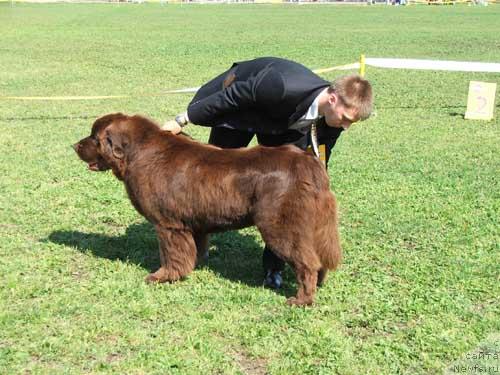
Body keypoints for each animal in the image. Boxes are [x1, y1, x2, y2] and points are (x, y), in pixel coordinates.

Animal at [72, 114, 342, 306]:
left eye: (94, 137)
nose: (74, 145)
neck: (138, 153)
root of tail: (309, 163)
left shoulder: (168, 224)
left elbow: (171, 253)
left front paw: (163, 276)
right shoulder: (193, 223)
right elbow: (194, 248)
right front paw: (192, 267)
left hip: (281, 226)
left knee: (307, 262)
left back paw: (301, 299)